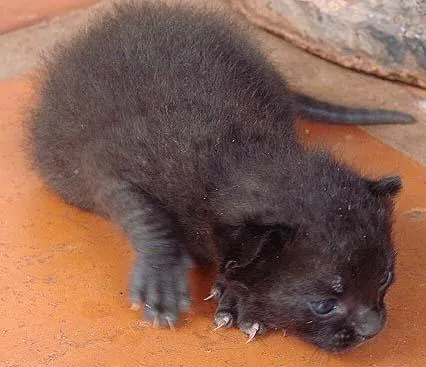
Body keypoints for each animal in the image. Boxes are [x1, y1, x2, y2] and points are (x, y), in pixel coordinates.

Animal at [27, 1, 402, 356]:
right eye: (324, 305)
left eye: (385, 277)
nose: (373, 329)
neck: (236, 150)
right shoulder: (110, 169)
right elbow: (148, 216)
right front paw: (162, 277)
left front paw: (239, 298)